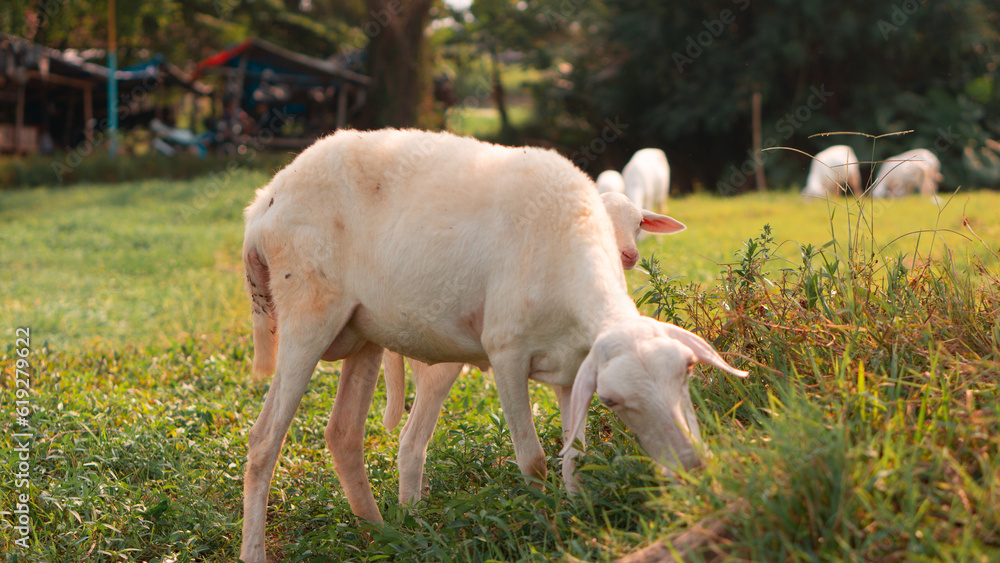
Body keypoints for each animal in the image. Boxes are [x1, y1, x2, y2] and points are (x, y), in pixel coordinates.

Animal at [382, 192, 687, 505]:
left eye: (639, 224)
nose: (630, 255)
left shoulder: (572, 369)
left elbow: (576, 454)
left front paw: (577, 505)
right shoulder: (508, 360)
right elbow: (533, 460)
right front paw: (537, 508)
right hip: (439, 362)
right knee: (411, 441)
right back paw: (413, 511)